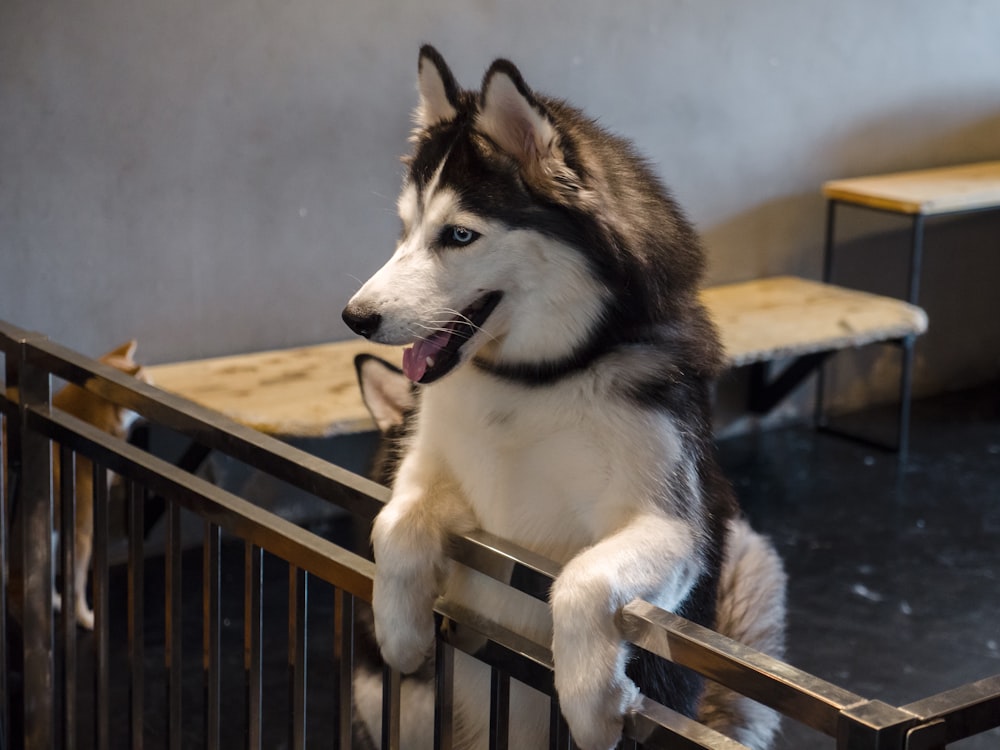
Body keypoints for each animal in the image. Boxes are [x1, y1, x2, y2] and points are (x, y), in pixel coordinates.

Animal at [344, 48, 788, 750]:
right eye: (405, 230)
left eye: (459, 236)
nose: (355, 318)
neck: (531, 382)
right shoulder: (423, 465)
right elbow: (394, 522)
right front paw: (401, 632)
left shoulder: (672, 524)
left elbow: (580, 580)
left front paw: (593, 708)